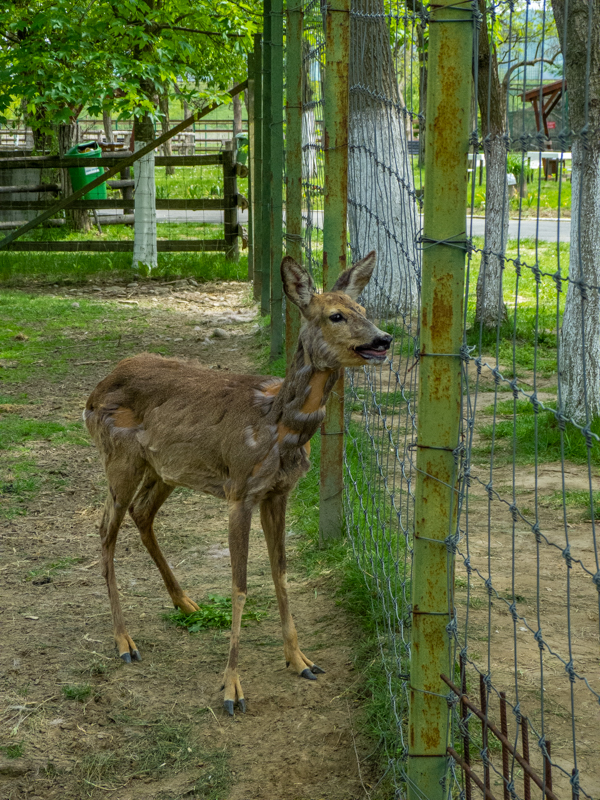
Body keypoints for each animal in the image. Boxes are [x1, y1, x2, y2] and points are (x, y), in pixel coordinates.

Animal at [84, 251, 392, 715]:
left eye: (364, 309)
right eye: (335, 315)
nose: (384, 339)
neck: (279, 426)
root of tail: (94, 390)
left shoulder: (278, 492)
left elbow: (280, 573)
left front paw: (301, 661)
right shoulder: (239, 491)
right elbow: (240, 585)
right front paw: (232, 689)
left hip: (165, 468)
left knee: (141, 513)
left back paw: (185, 602)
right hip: (118, 458)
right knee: (105, 529)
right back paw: (125, 642)